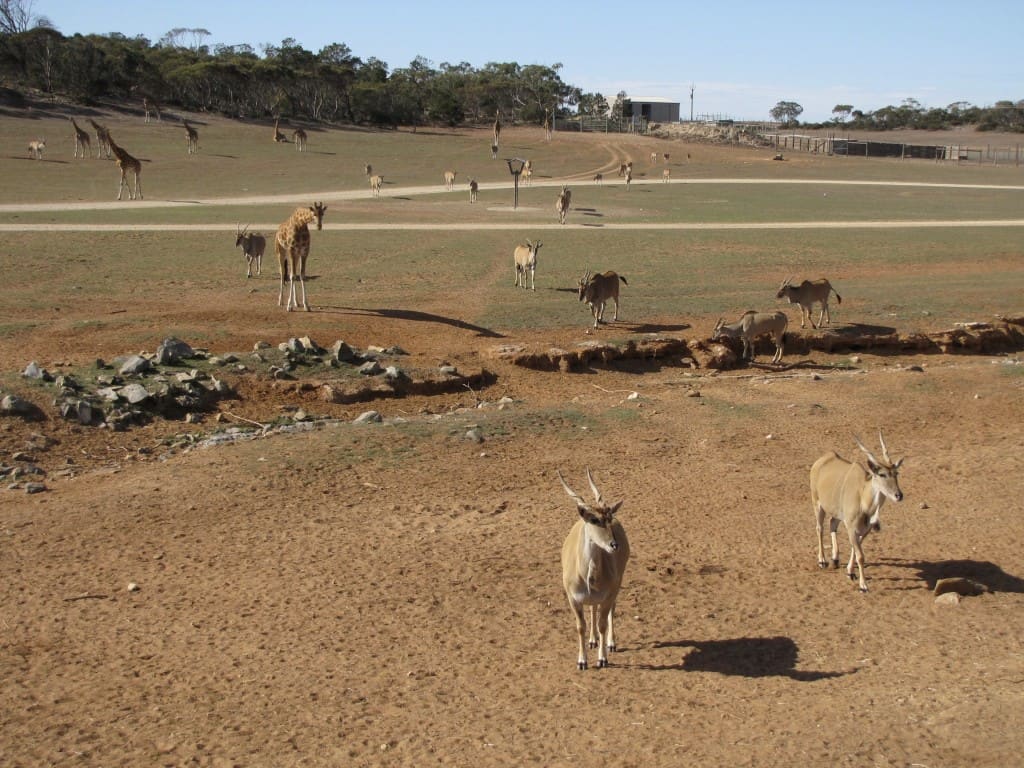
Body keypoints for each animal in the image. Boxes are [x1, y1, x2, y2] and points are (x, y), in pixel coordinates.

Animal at [557, 466, 626, 671]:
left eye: (608, 518)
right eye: (594, 520)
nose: (614, 545)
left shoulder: (609, 594)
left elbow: (603, 623)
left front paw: (602, 659)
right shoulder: (573, 599)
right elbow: (581, 626)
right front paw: (582, 661)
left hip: (617, 586)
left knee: (610, 610)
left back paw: (610, 643)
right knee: (593, 609)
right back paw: (593, 640)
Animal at [811, 434, 901, 593]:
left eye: (896, 473)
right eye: (882, 474)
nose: (899, 495)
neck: (863, 497)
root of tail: (819, 462)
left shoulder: (864, 530)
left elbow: (855, 547)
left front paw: (850, 572)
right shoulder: (851, 527)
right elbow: (860, 556)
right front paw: (863, 586)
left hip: (837, 513)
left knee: (832, 524)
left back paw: (835, 558)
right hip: (817, 504)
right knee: (819, 528)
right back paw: (822, 560)